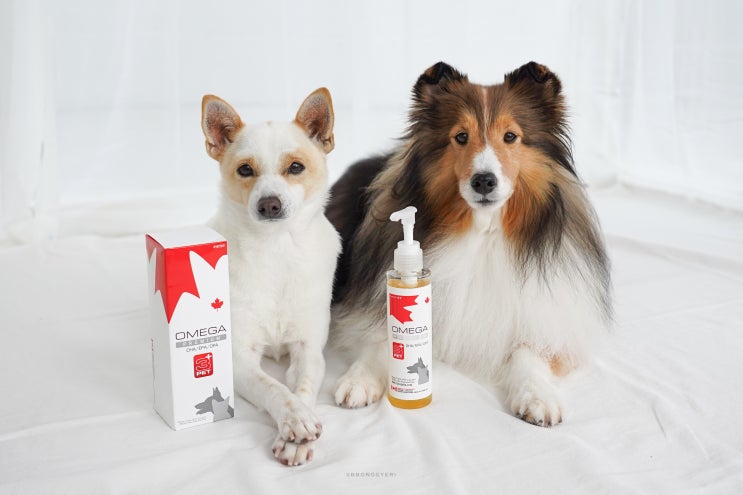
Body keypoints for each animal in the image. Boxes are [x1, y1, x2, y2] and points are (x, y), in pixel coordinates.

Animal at [201, 88, 340, 464]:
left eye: (296, 167)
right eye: (245, 169)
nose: (269, 204)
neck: (277, 250)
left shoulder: (309, 349)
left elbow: (302, 387)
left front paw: (298, 436)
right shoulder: (239, 357)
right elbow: (275, 388)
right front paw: (295, 419)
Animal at [327, 62, 611, 427]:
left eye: (510, 136)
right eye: (461, 137)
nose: (484, 181)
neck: (483, 231)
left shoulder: (545, 317)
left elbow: (529, 352)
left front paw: (538, 397)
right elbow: (381, 338)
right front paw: (358, 380)